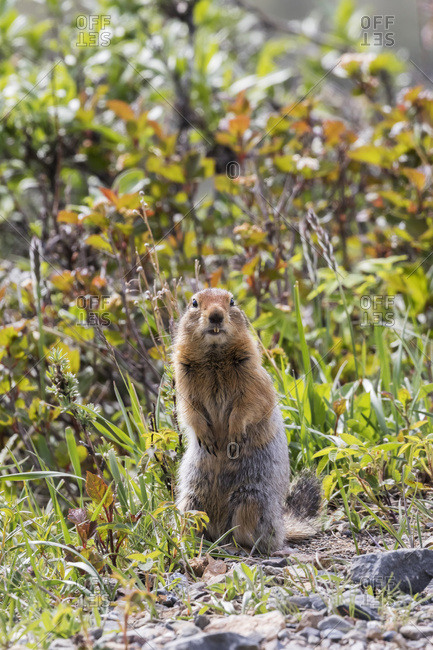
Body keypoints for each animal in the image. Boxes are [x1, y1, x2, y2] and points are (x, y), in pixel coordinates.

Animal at [173, 288, 321, 553]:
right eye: (194, 303)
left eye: (231, 301)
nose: (216, 315)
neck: (214, 357)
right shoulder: (183, 378)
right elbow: (190, 410)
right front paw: (206, 438)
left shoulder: (252, 375)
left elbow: (249, 404)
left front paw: (233, 438)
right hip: (191, 502)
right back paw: (190, 543)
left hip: (251, 501)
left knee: (252, 537)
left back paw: (238, 546)